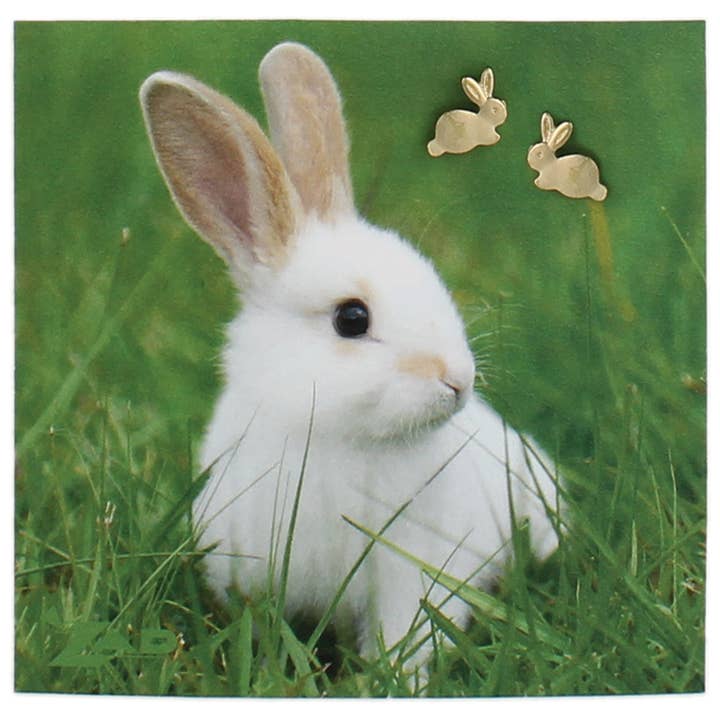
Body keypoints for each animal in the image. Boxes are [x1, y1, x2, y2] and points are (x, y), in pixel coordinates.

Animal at [140, 42, 560, 677]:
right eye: (352, 319)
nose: (457, 381)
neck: (332, 436)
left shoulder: (411, 569)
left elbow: (406, 630)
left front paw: (399, 679)